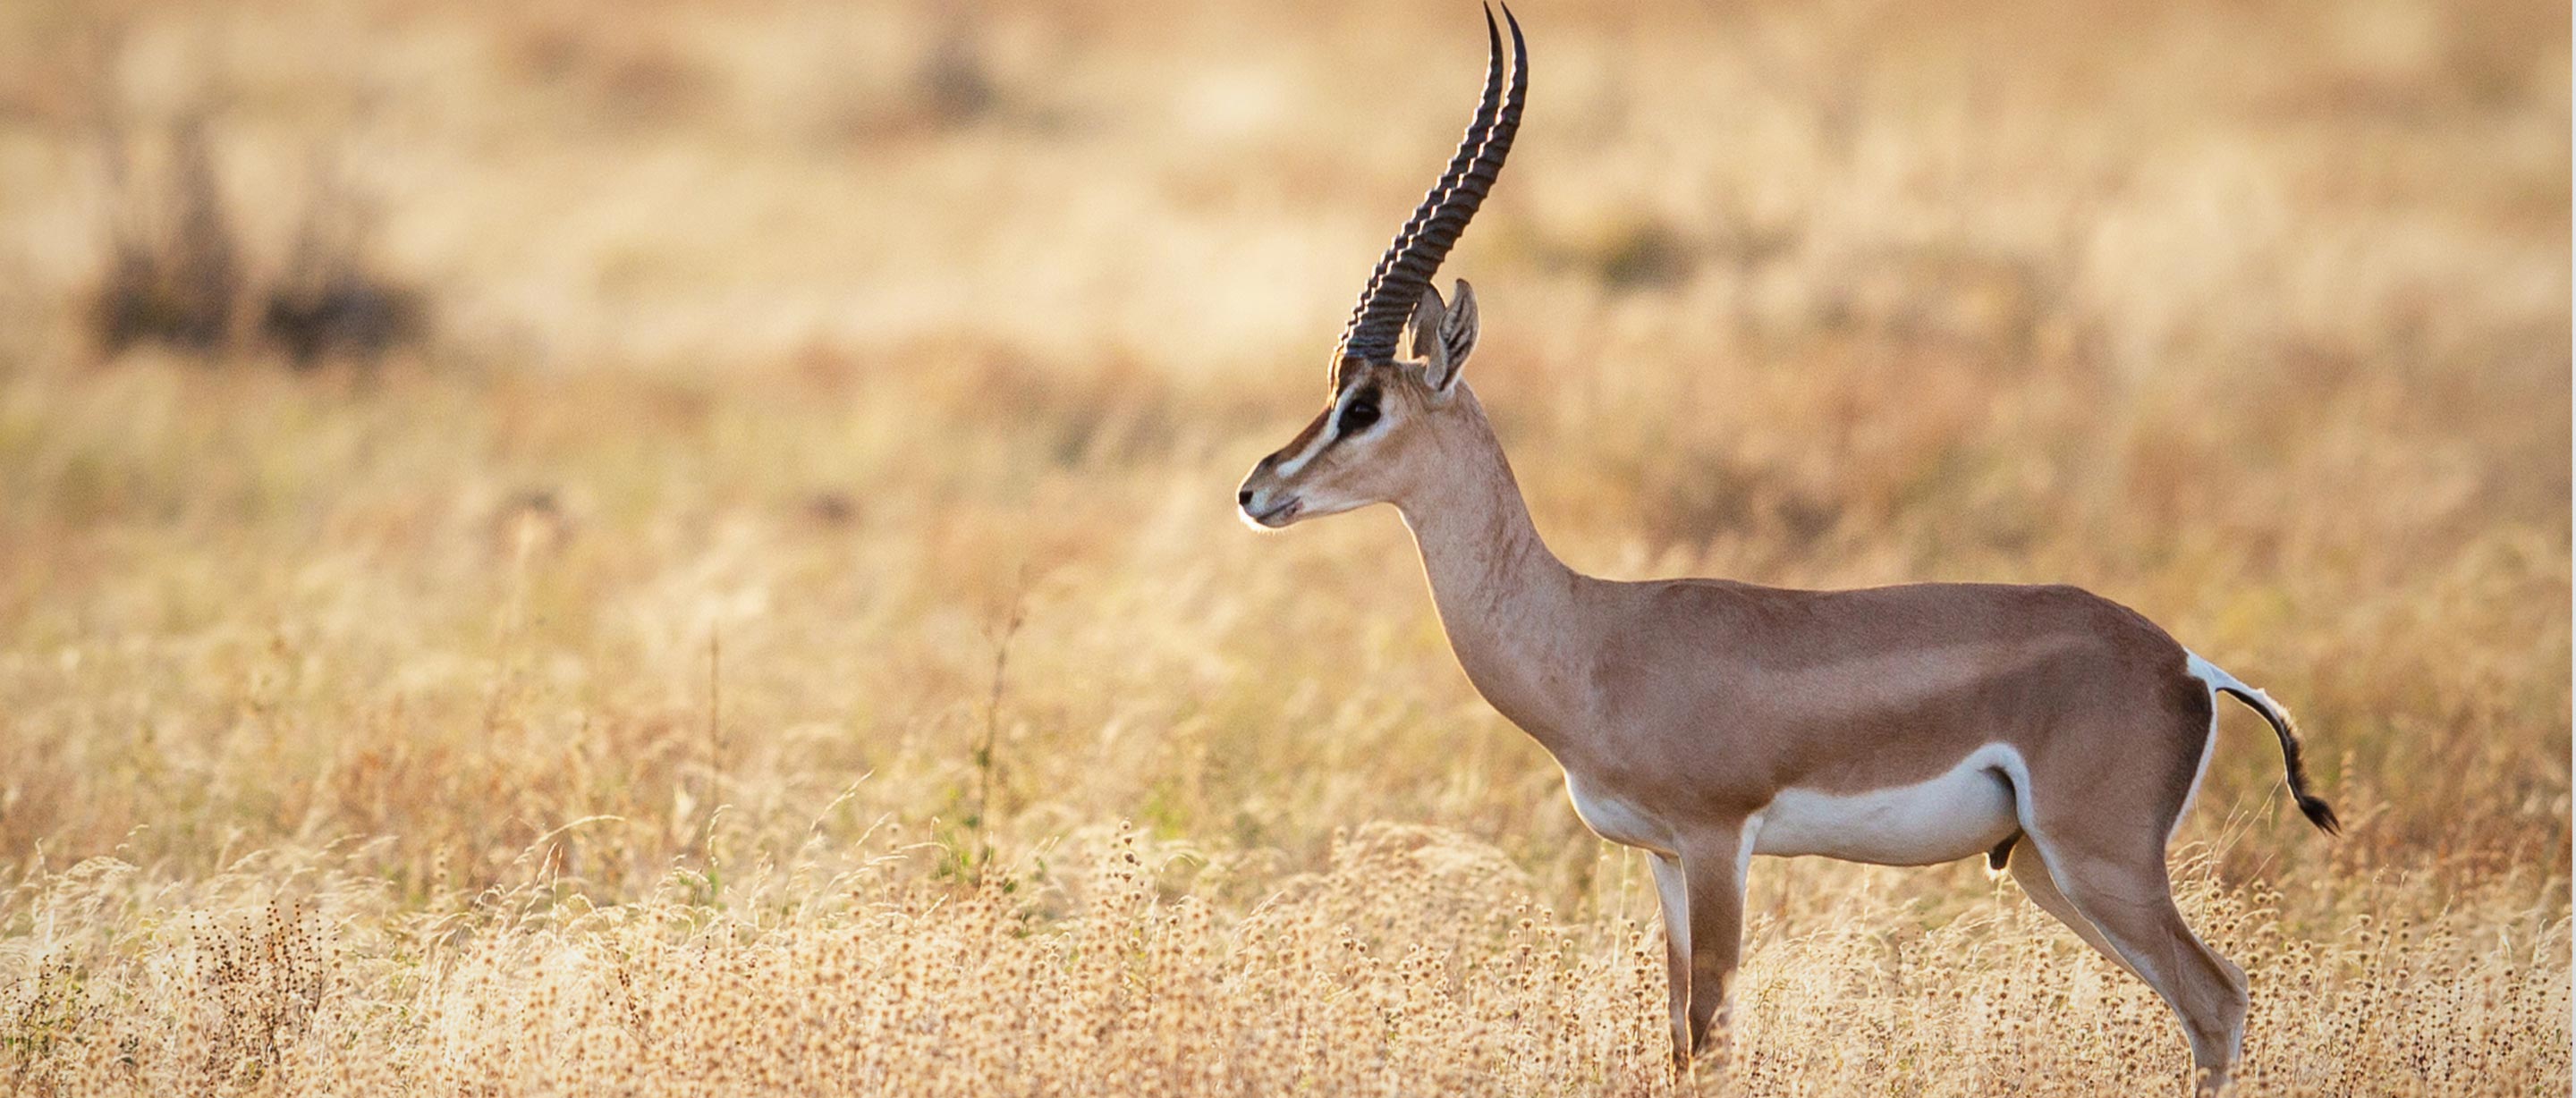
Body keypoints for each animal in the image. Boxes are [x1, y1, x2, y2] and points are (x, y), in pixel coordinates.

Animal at [1235, 8, 2338, 1093]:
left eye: (1364, 405)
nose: (1257, 491)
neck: (1591, 634)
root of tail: (2189, 664)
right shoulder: (1663, 859)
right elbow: (1677, 1041)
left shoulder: (1720, 840)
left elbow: (1712, 1036)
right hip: (2038, 864)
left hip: (2098, 859)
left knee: (2217, 997)